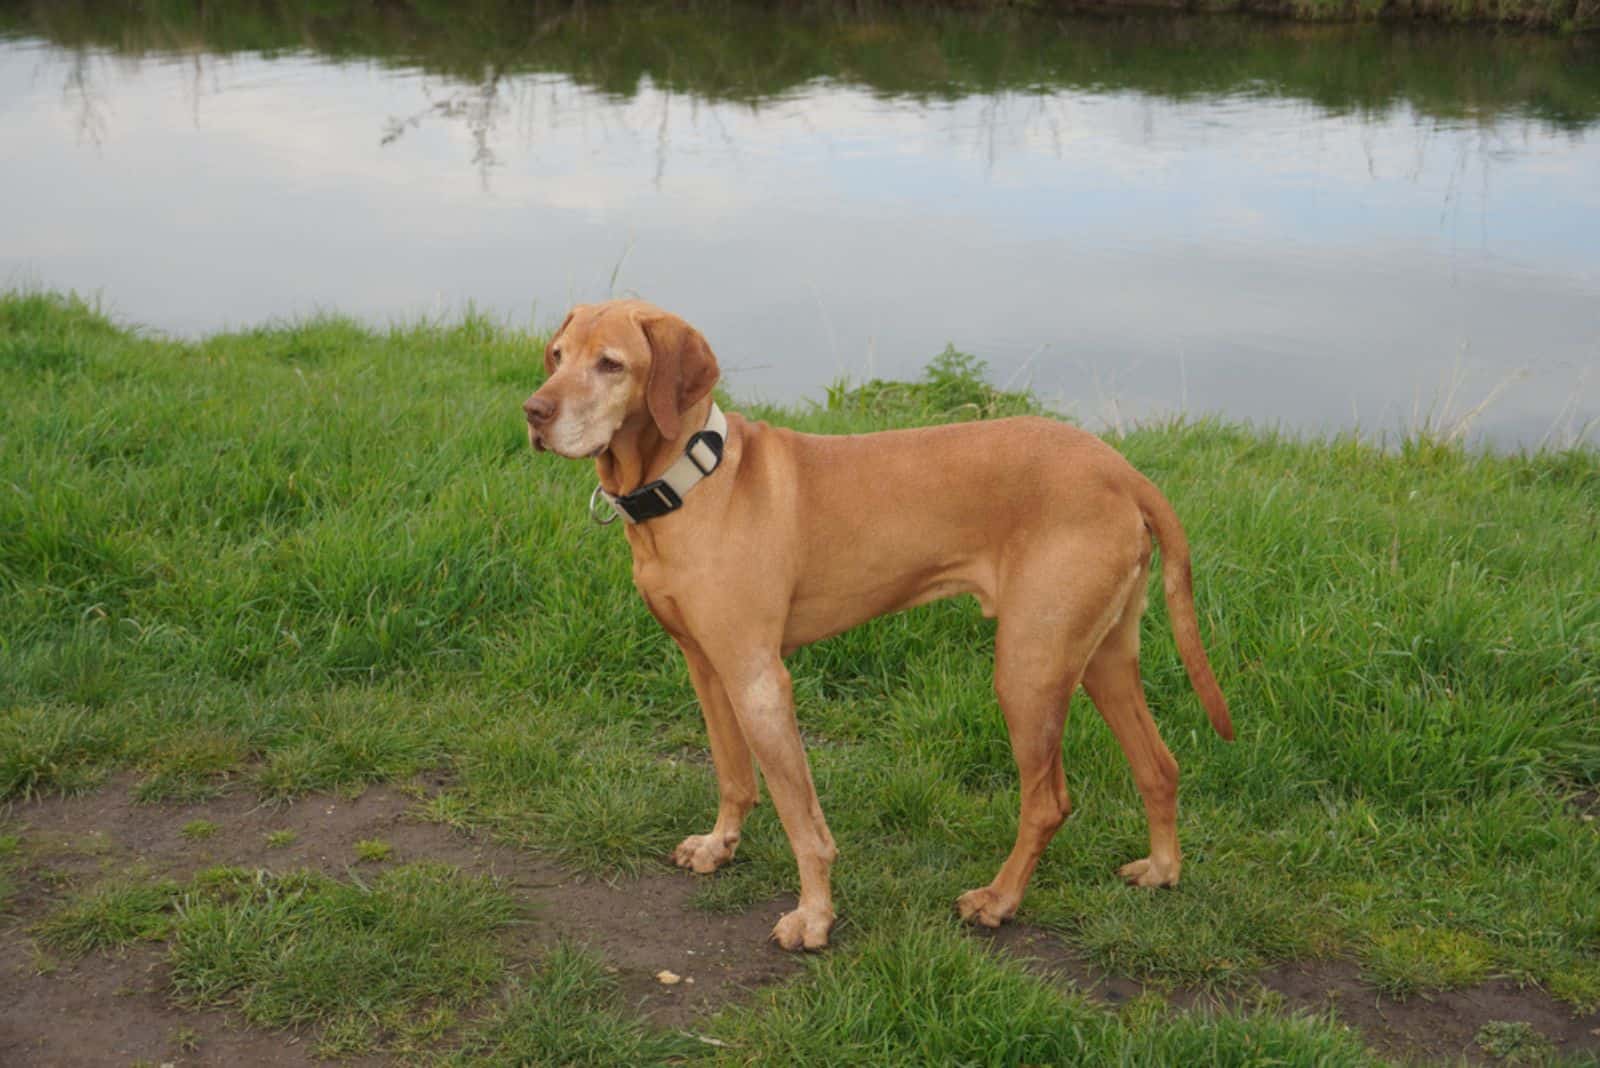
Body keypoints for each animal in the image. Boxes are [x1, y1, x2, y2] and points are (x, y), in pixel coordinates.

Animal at [524, 300, 1235, 952]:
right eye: (557, 356)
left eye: (611, 364)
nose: (533, 412)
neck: (696, 481)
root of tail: (1124, 472)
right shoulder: (707, 666)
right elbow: (733, 774)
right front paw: (720, 845)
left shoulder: (759, 680)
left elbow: (803, 821)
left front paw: (814, 917)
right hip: (1101, 658)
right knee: (1160, 766)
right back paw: (1162, 869)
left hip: (1028, 672)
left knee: (1048, 803)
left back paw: (999, 900)